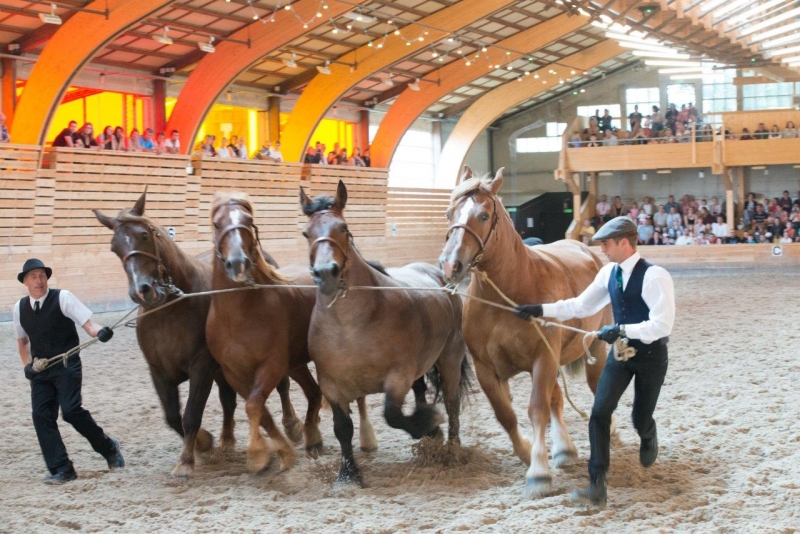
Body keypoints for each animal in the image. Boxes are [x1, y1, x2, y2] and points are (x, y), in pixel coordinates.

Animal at [93, 192, 306, 478]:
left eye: (144, 236)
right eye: (115, 247)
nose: (142, 290)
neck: (170, 310)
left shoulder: (202, 367)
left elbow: (191, 414)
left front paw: (187, 459)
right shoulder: (158, 371)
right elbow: (173, 416)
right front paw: (205, 443)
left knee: (281, 387)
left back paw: (292, 426)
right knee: (228, 401)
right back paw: (226, 442)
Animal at [208, 193, 330, 474]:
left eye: (248, 221)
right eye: (217, 224)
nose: (238, 263)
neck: (238, 316)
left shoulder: (271, 365)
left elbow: (254, 405)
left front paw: (257, 455)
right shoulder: (233, 372)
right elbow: (259, 409)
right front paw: (282, 449)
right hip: (296, 364)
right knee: (313, 393)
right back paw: (312, 437)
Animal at [304, 182, 472, 492]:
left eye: (343, 228)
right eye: (306, 233)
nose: (325, 273)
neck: (352, 326)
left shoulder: (397, 377)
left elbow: (392, 415)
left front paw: (427, 425)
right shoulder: (331, 385)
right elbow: (342, 428)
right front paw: (348, 475)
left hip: (450, 359)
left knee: (452, 402)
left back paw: (452, 449)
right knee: (421, 391)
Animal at [438, 168, 608, 498]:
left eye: (483, 215)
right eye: (449, 212)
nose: (451, 265)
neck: (508, 294)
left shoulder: (543, 360)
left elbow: (537, 409)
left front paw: (539, 472)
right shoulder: (487, 368)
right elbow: (506, 414)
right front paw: (526, 452)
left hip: (593, 348)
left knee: (594, 390)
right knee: (557, 399)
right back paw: (564, 450)